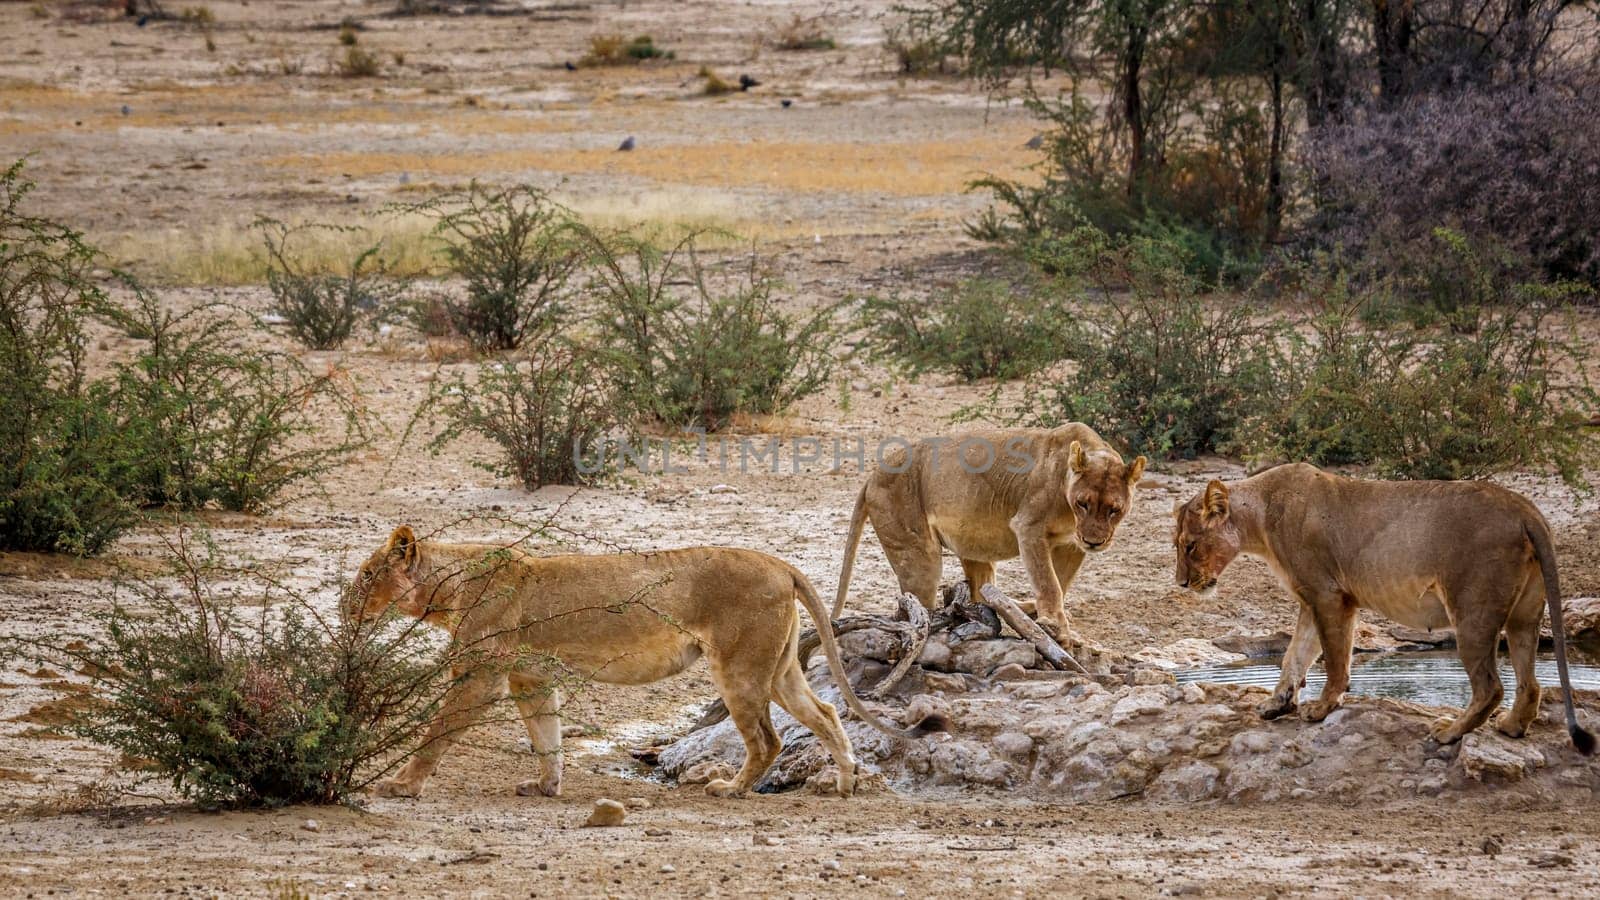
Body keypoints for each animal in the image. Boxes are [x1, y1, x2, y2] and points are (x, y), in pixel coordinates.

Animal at [344, 525, 934, 797]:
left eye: (368, 574)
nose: (346, 604)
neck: (448, 585)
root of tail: (779, 562)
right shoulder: (531, 676)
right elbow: (547, 736)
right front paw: (547, 788)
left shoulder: (480, 675)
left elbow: (438, 731)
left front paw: (401, 785)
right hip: (780, 668)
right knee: (827, 714)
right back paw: (845, 783)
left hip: (738, 667)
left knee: (768, 740)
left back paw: (730, 789)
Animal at [838, 422, 1152, 634]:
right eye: (1083, 503)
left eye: (1114, 510)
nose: (1094, 541)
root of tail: (873, 474)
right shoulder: (1028, 527)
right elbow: (1048, 581)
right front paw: (1056, 626)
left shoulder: (1072, 544)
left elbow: (1061, 581)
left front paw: (1046, 618)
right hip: (917, 556)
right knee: (914, 607)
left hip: (973, 551)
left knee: (978, 591)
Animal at [1171, 461, 1593, 749]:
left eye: (1189, 546)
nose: (1181, 583)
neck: (1259, 518)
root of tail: (1527, 509)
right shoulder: (1311, 599)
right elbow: (1294, 656)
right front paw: (1276, 704)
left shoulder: (1330, 596)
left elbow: (1334, 659)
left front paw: (1321, 709)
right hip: (1524, 614)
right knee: (1530, 682)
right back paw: (1511, 726)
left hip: (1473, 611)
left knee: (1490, 687)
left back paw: (1449, 732)